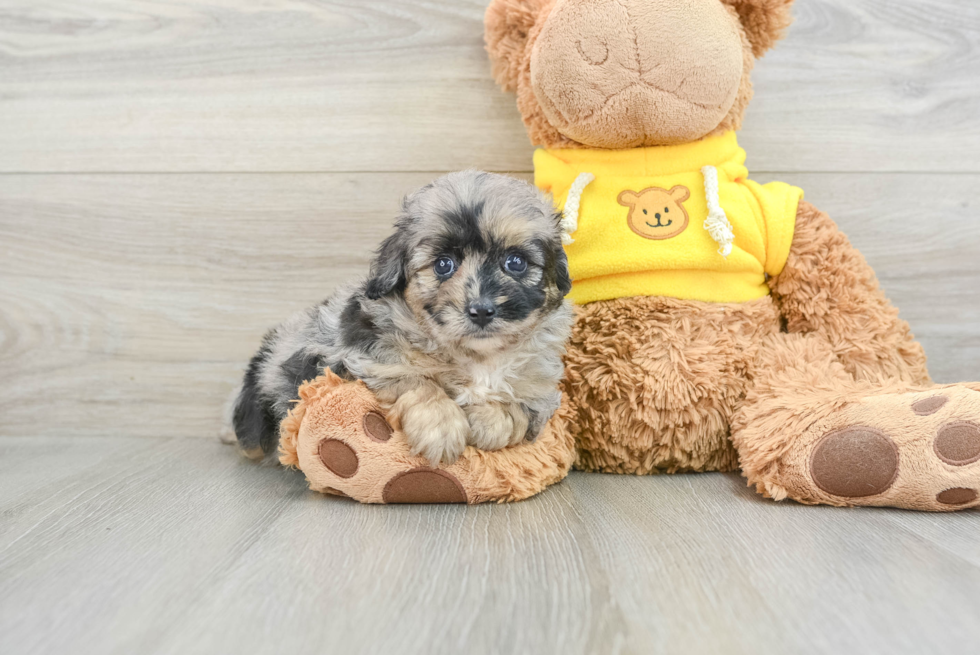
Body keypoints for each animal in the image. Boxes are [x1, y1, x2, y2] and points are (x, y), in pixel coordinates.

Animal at [232, 172, 576, 464]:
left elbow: (518, 409)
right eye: (443, 265)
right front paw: (442, 428)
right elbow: (415, 379)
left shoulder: (541, 394)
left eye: (516, 262)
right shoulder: (366, 359)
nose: (480, 310)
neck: (476, 356)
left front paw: (489, 420)